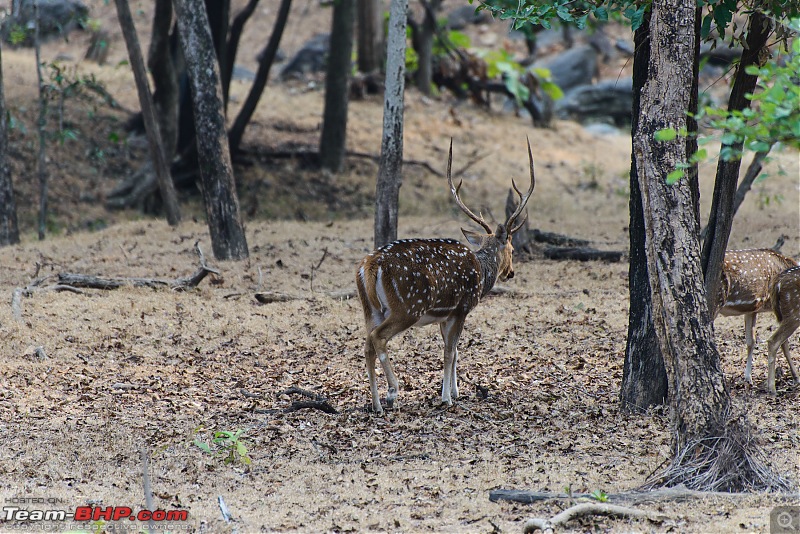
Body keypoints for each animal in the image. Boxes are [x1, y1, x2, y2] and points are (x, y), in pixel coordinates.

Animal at [764, 266, 800, 396]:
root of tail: (778, 282)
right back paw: (772, 388)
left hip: (784, 314)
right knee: (773, 341)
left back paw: (796, 377)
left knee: (783, 342)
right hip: (794, 313)